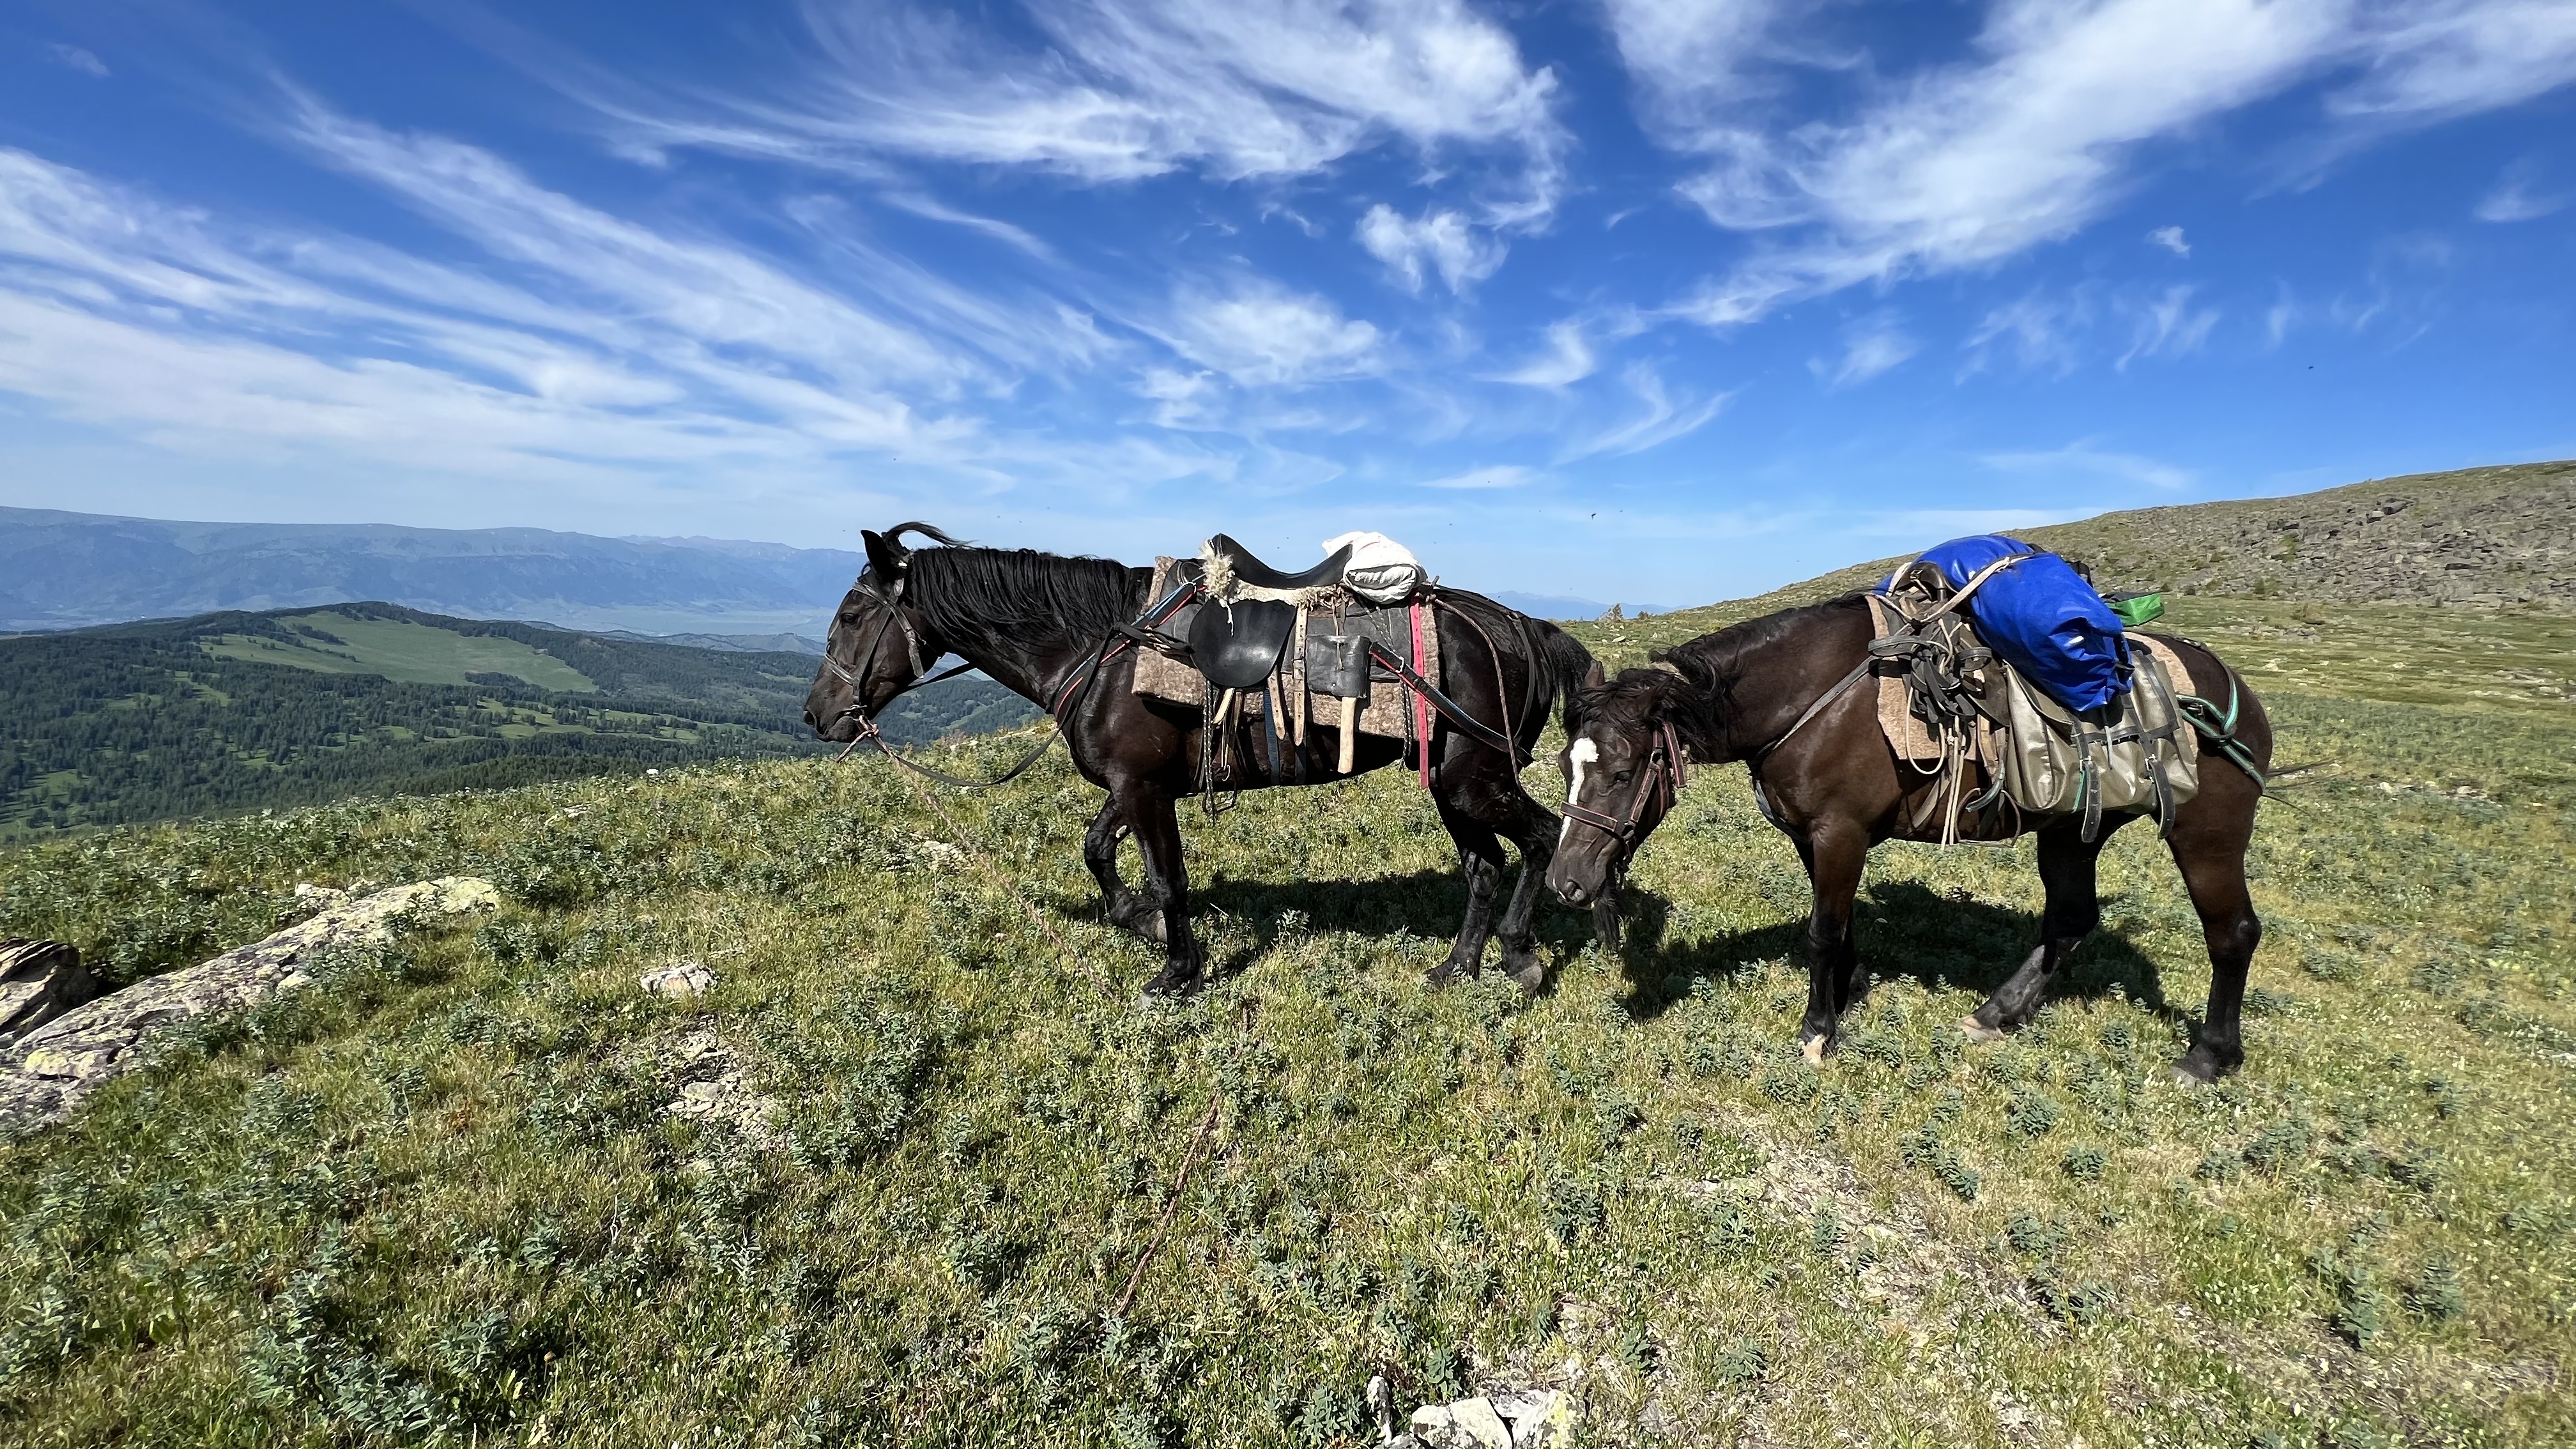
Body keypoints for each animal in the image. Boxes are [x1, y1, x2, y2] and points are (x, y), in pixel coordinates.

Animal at [803, 524, 1602, 996]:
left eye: (851, 615)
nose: (818, 715)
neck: (1104, 649)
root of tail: (1521, 627)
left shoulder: (1145, 789)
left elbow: (1168, 879)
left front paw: (1176, 970)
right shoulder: (1132, 784)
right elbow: (1097, 850)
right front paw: (1139, 923)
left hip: (1474, 778)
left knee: (1536, 840)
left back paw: (1519, 957)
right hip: (1448, 782)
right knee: (1484, 866)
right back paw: (1457, 967)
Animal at [1542, 594, 2274, 1083]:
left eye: (1621, 772)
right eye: (1564, 764)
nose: (1566, 881)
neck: (1810, 697)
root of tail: (2237, 694)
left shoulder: (1840, 833)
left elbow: (1822, 932)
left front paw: (1817, 1033)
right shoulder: (1815, 837)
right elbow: (1839, 926)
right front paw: (1847, 993)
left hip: (2208, 836)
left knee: (2233, 934)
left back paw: (2208, 1057)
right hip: (2073, 833)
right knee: (2071, 919)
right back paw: (1997, 1014)